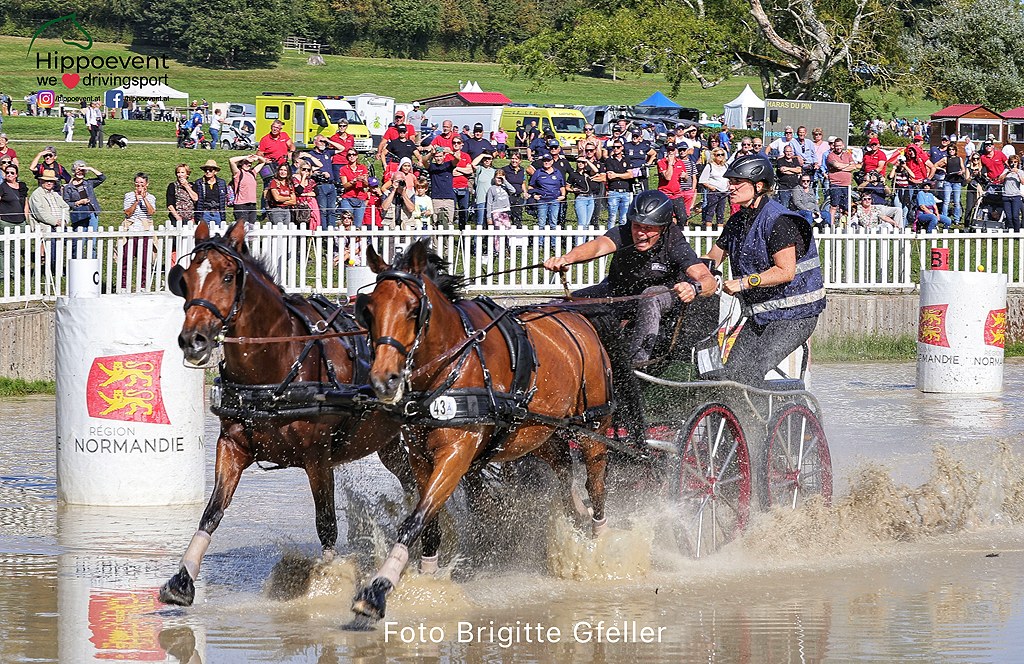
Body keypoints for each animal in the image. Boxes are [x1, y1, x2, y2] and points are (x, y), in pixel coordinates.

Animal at [157, 219, 405, 606]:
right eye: (188, 279)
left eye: (228, 277)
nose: (193, 340)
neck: (275, 367)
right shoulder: (232, 446)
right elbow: (212, 512)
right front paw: (183, 578)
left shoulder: (318, 457)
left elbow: (326, 524)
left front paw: (326, 584)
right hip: (393, 446)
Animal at [348, 240, 618, 627]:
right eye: (368, 310)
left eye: (414, 309)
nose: (384, 380)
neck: (452, 365)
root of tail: (578, 317)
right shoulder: (419, 457)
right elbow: (429, 521)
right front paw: (427, 579)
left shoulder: (457, 452)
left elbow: (416, 517)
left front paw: (379, 588)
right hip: (536, 432)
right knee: (563, 467)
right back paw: (576, 511)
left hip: (592, 426)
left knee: (596, 482)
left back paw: (599, 541)